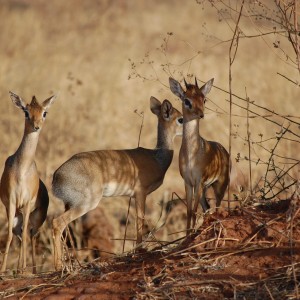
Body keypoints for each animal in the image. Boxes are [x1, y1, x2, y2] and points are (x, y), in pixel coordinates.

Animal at [0, 92, 56, 274]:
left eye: (44, 112)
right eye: (26, 111)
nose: (36, 126)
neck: (22, 170)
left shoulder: (26, 203)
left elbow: (24, 234)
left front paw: (23, 267)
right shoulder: (11, 202)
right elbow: (10, 235)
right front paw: (3, 269)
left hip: (36, 217)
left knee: (30, 234)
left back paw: (30, 269)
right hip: (18, 214)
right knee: (20, 233)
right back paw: (21, 268)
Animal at [51, 96, 183, 270]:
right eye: (181, 119)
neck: (157, 158)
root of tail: (57, 176)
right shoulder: (140, 192)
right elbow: (140, 219)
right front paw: (139, 250)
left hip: (69, 204)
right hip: (86, 203)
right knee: (57, 223)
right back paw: (59, 267)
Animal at [169, 76, 230, 233]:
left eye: (204, 99)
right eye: (187, 100)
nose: (201, 114)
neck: (192, 154)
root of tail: (222, 149)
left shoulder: (199, 181)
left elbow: (194, 210)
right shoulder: (188, 182)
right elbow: (189, 211)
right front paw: (187, 233)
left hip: (220, 185)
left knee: (217, 207)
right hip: (204, 189)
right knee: (207, 207)